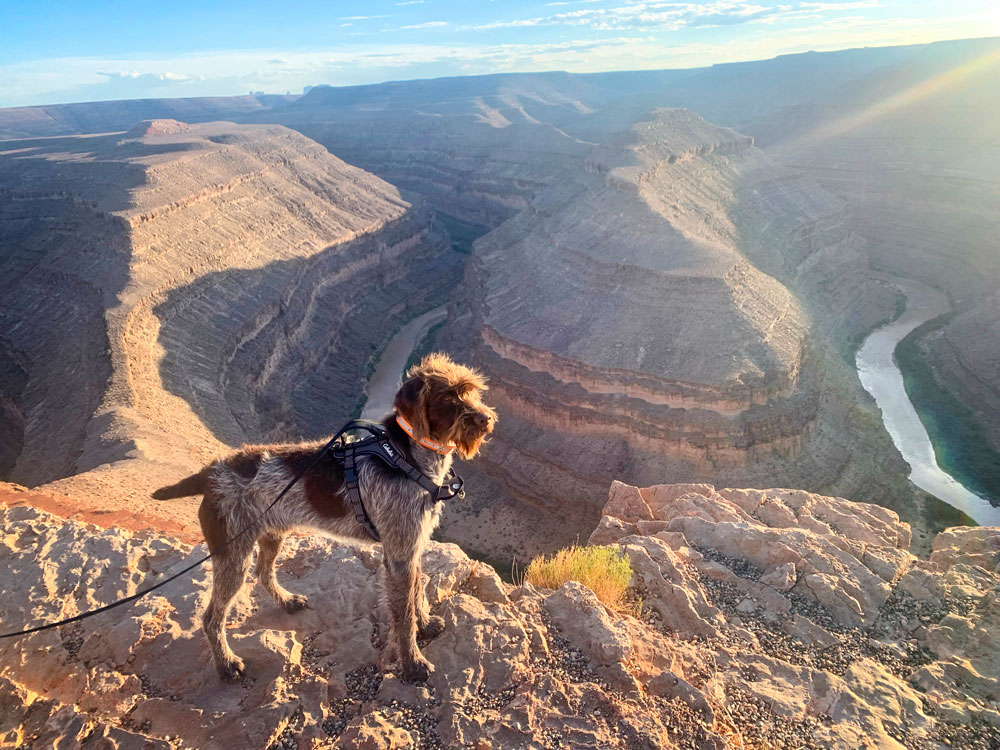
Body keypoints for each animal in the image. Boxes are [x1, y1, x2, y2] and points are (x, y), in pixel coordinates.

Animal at [152, 356, 496, 684]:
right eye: (449, 397)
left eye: (473, 391)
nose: (486, 418)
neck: (406, 456)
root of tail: (210, 471)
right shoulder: (400, 553)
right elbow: (404, 612)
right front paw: (413, 663)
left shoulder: (412, 544)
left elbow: (417, 592)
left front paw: (424, 625)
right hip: (233, 553)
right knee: (212, 617)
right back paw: (225, 664)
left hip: (271, 532)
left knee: (263, 572)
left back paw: (286, 601)